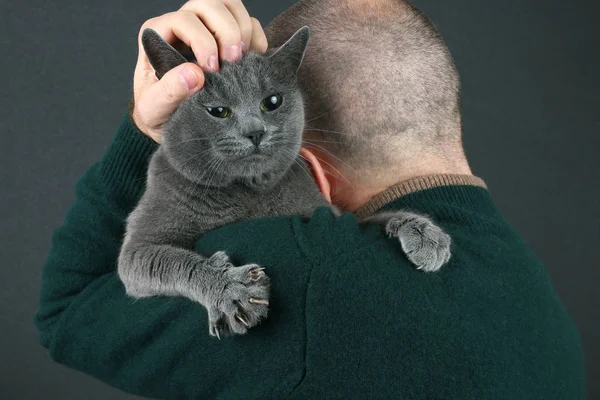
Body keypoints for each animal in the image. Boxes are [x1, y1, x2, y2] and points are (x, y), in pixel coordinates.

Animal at [118, 26, 450, 338]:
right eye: (218, 111)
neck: (248, 192)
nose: (255, 131)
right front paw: (233, 292)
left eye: (272, 102)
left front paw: (424, 233)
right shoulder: (139, 247)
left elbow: (372, 219)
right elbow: (176, 261)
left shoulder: (332, 215)